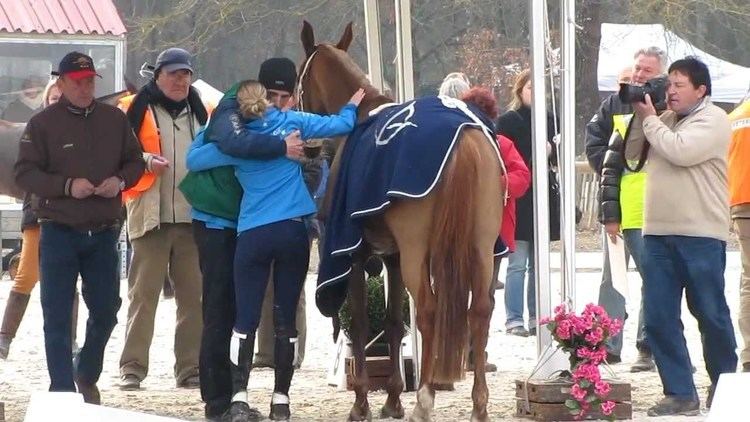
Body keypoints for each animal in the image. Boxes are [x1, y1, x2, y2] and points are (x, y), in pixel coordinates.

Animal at [302, 20, 508, 422]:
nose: (307, 148)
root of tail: (463, 137)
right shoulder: (392, 256)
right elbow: (394, 324)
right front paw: (393, 398)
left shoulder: (358, 255)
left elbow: (363, 324)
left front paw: (363, 403)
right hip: (479, 248)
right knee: (480, 311)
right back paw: (478, 405)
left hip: (418, 252)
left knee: (428, 309)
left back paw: (424, 400)